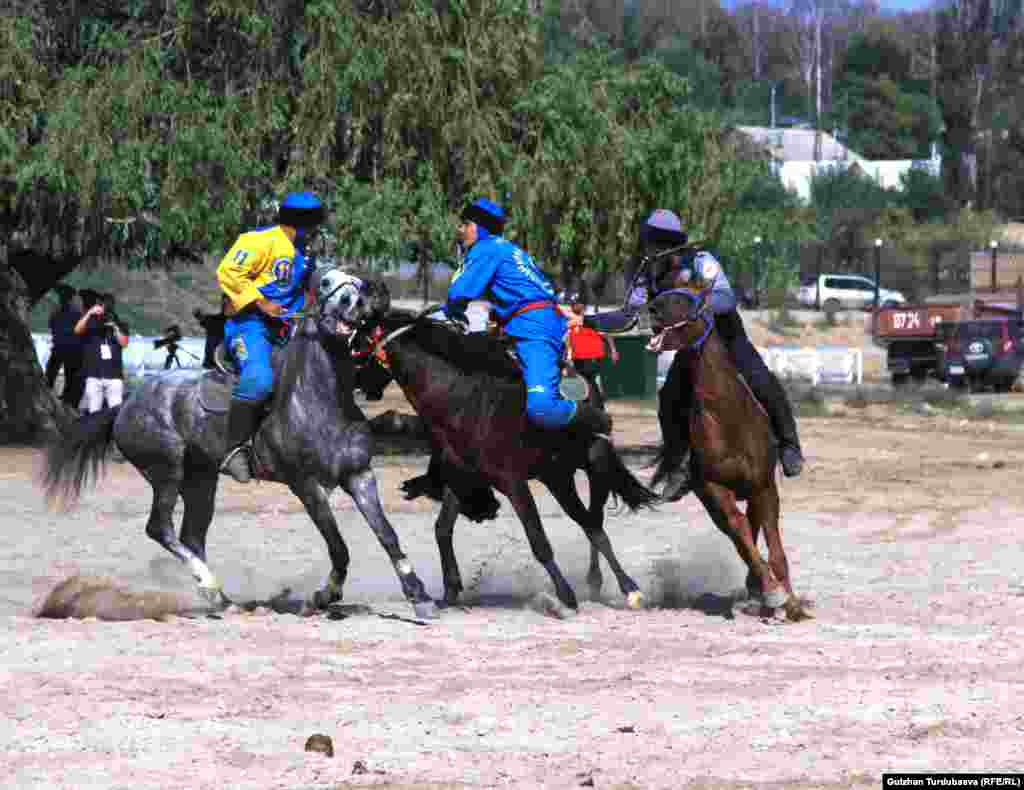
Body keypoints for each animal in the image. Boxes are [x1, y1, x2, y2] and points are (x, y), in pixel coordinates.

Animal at [41, 274, 436, 622]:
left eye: (357, 282)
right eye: (326, 282)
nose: (367, 295)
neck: (321, 398)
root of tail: (125, 406)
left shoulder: (359, 475)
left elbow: (387, 535)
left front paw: (419, 596)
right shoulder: (306, 485)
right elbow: (338, 545)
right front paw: (325, 595)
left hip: (201, 481)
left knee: (191, 536)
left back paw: (223, 600)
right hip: (167, 471)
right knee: (160, 528)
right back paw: (208, 586)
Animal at [354, 311, 655, 614]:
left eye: (357, 346)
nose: (357, 384)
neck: (463, 400)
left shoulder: (514, 482)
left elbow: (539, 540)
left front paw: (567, 595)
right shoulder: (463, 477)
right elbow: (442, 530)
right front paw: (450, 591)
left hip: (594, 465)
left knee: (595, 522)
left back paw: (618, 586)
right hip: (558, 477)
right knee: (590, 524)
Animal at [651, 284, 811, 622]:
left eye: (686, 300)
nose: (652, 309)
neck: (727, 416)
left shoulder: (764, 486)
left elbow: (774, 548)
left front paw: (791, 603)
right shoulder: (714, 488)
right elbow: (741, 534)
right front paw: (773, 592)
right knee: (741, 533)